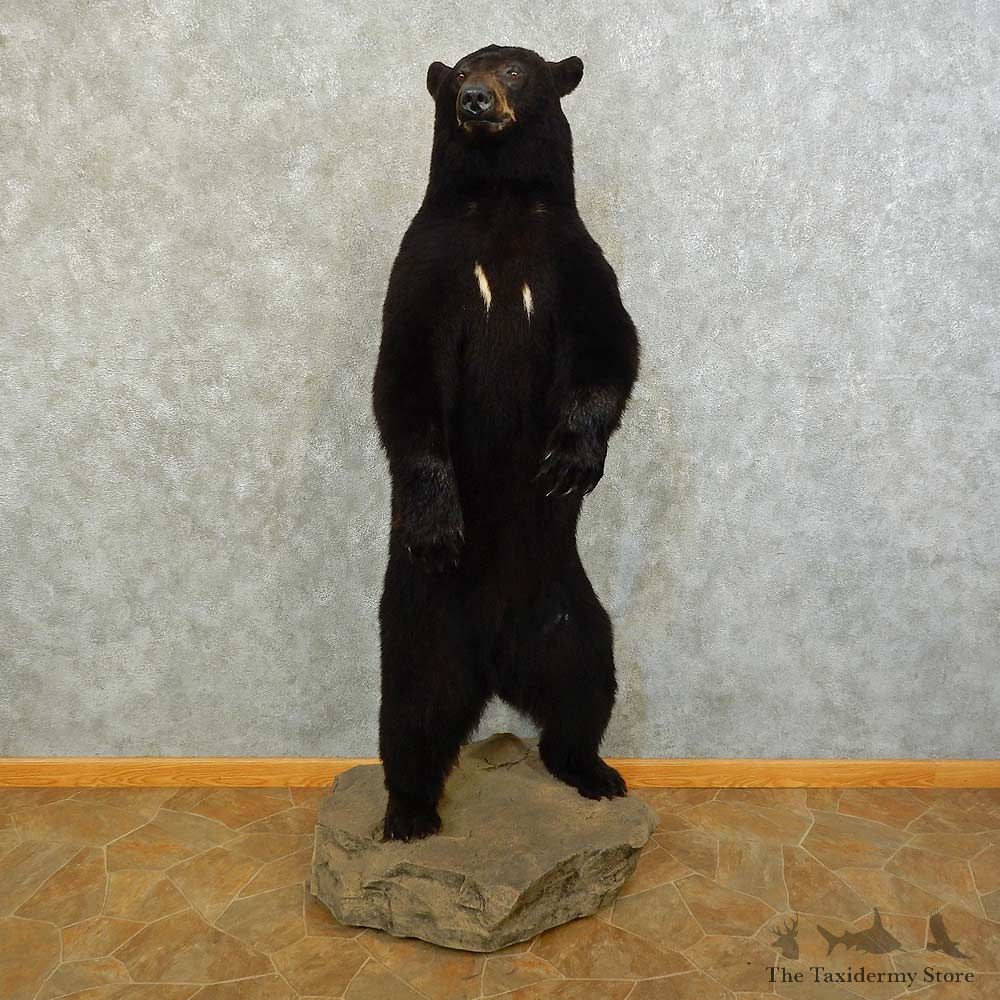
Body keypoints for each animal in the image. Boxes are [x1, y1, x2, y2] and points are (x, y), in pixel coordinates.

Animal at [372, 45, 640, 842]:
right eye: (460, 74)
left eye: (517, 70)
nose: (477, 101)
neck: (498, 204)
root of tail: (495, 662)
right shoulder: (425, 267)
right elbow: (405, 381)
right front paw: (436, 522)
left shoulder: (577, 261)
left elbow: (611, 346)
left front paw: (570, 462)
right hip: (419, 622)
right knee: (411, 714)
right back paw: (408, 812)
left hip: (574, 615)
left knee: (587, 689)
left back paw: (594, 773)